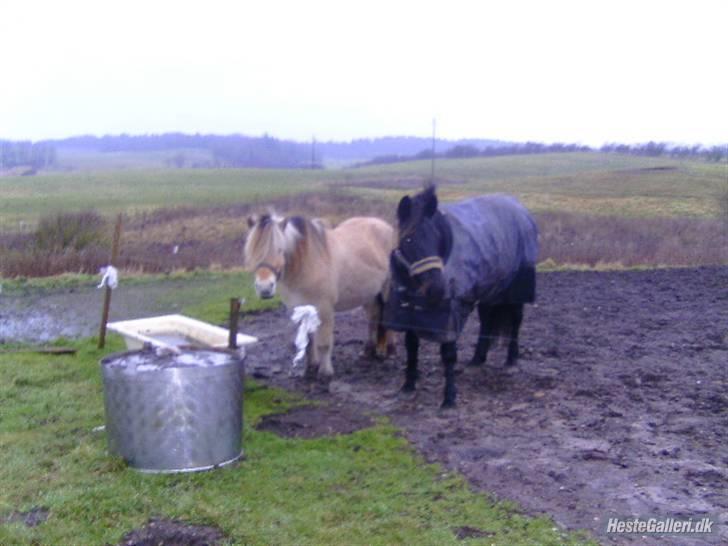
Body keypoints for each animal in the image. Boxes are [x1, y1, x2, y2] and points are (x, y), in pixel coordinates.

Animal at [384, 185, 536, 406]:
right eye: (408, 239)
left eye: (436, 238)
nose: (436, 289)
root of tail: (520, 209)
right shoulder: (409, 311)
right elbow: (411, 346)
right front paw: (408, 386)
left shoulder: (451, 312)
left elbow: (448, 354)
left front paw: (449, 399)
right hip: (489, 291)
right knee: (487, 322)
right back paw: (477, 360)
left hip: (515, 289)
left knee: (516, 321)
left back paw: (511, 361)